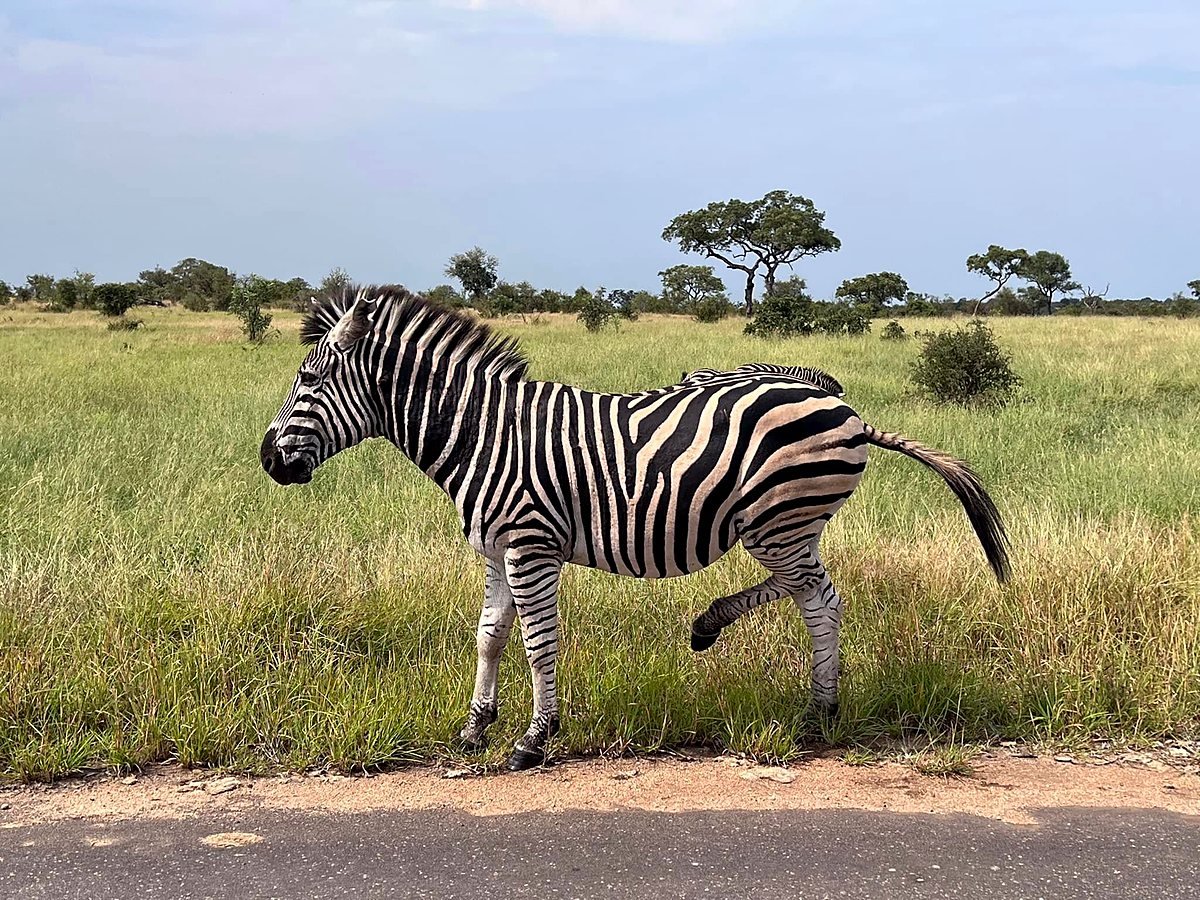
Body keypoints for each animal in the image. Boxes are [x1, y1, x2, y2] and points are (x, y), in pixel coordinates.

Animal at [261, 285, 1010, 771]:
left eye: (308, 382)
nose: (268, 459)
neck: (483, 431)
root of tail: (846, 406)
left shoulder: (531, 543)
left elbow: (538, 644)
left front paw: (533, 740)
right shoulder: (496, 547)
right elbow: (489, 637)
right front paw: (475, 728)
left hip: (779, 518)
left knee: (819, 598)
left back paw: (808, 706)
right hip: (788, 522)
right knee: (806, 591)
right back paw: (749, 655)